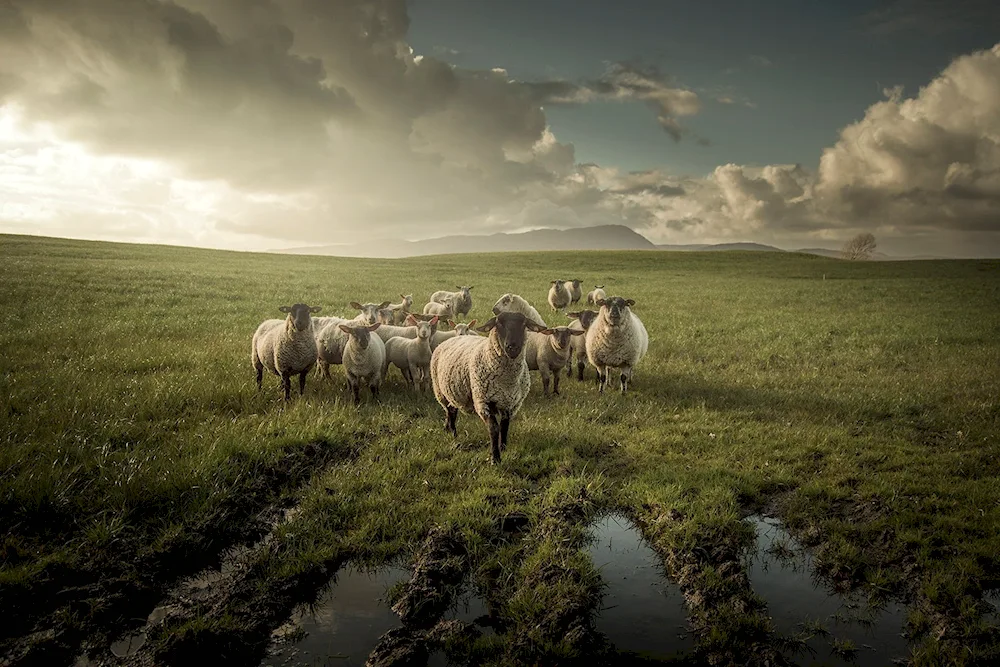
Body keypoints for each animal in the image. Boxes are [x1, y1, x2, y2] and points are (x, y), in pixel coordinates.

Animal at [426, 312, 544, 464]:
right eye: (498, 324)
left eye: (524, 324)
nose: (512, 347)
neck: (507, 382)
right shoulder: (483, 402)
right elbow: (494, 429)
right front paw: (495, 458)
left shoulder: (511, 403)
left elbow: (505, 426)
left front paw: (503, 447)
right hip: (440, 391)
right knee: (450, 412)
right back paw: (453, 433)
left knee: (451, 410)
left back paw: (447, 429)